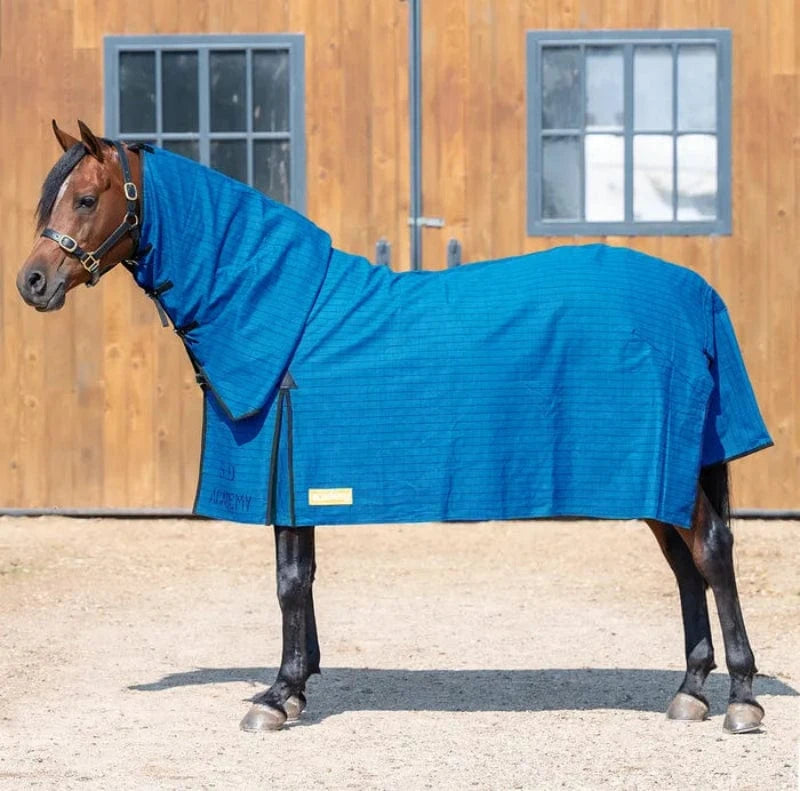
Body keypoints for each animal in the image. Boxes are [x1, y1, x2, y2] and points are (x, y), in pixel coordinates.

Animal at [17, 120, 772, 734]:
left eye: (86, 199)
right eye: (49, 199)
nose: (32, 283)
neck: (281, 313)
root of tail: (696, 294)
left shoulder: (292, 471)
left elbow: (288, 582)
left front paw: (276, 697)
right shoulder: (299, 480)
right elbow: (301, 577)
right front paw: (295, 687)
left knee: (711, 553)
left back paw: (740, 698)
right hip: (660, 479)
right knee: (685, 565)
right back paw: (689, 691)